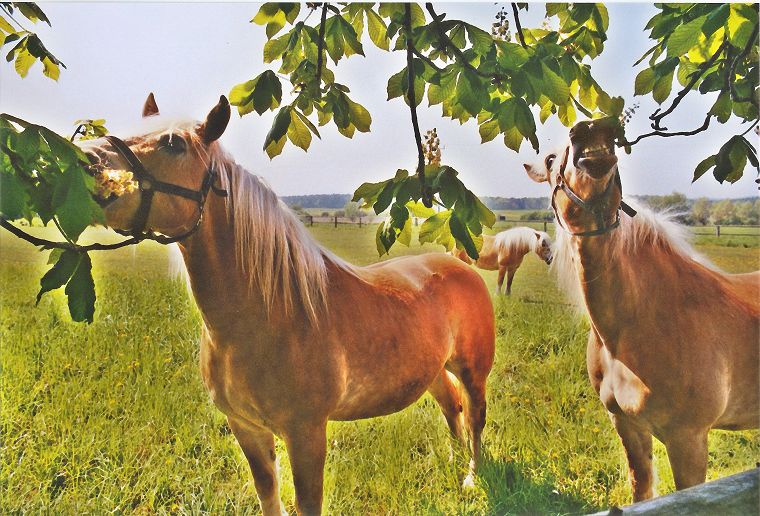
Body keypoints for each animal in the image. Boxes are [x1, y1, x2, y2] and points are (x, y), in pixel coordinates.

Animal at [83, 95, 496, 512]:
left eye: (174, 144)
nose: (85, 159)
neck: (266, 317)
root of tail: (458, 263)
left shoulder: (305, 433)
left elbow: (306, 502)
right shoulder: (246, 428)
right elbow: (268, 491)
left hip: (472, 371)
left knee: (474, 417)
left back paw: (470, 478)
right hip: (433, 370)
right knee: (451, 407)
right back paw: (452, 464)